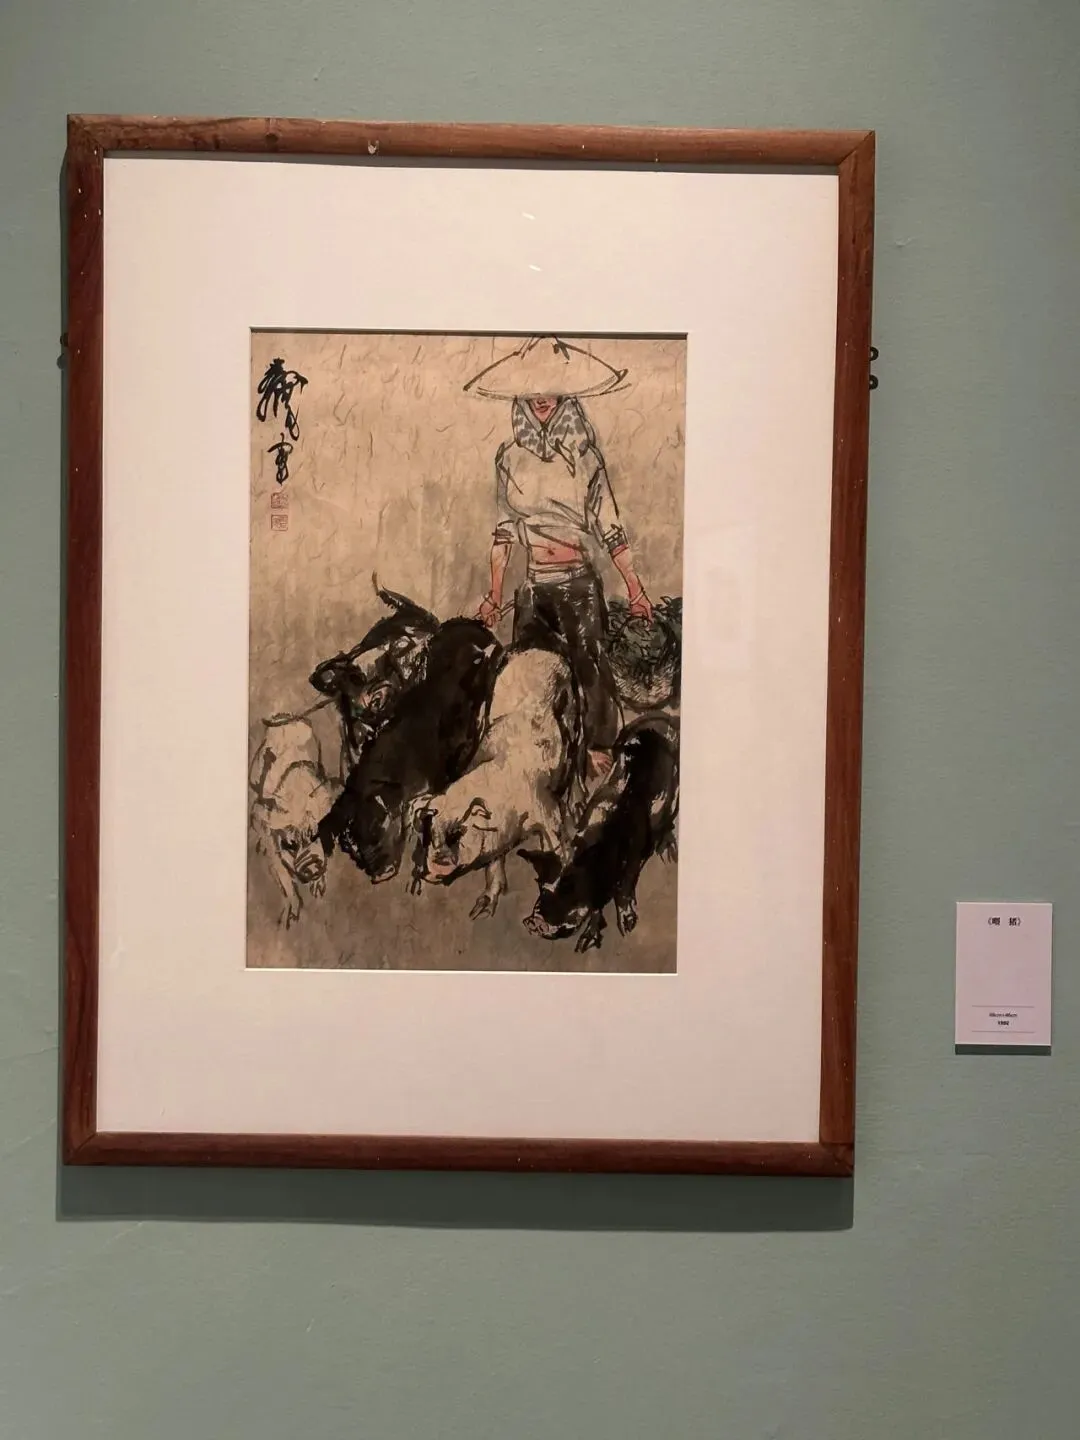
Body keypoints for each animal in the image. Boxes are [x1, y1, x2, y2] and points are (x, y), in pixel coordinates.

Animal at [412, 642, 585, 919]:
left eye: (459, 831)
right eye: (430, 831)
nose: (436, 867)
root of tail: (544, 652)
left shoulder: (547, 812)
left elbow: (558, 851)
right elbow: (493, 866)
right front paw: (480, 911)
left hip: (576, 719)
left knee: (578, 762)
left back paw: (579, 807)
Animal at [523, 715, 679, 952]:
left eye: (571, 887)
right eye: (542, 887)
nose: (533, 921)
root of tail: (663, 720)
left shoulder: (633, 859)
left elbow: (623, 891)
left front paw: (628, 927)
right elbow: (595, 910)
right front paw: (584, 944)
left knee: (667, 821)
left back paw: (670, 851)